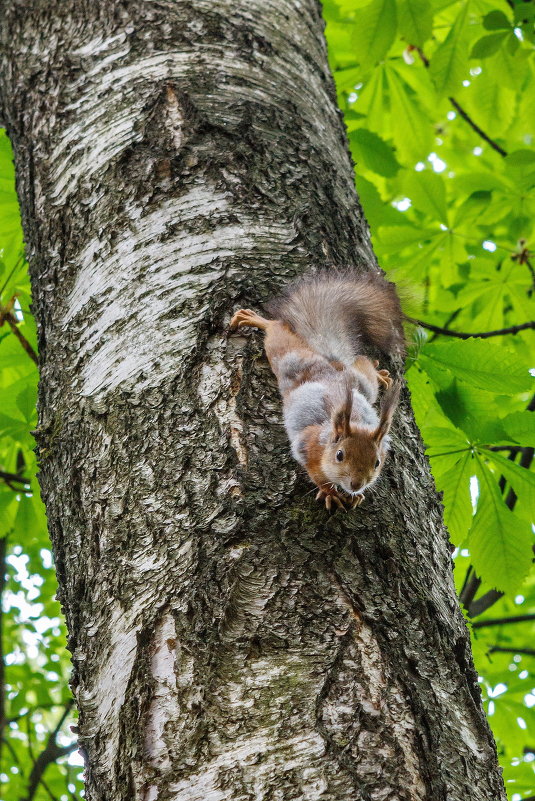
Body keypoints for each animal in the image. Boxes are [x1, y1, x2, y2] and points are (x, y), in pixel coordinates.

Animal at [228, 268, 404, 506]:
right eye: (340, 455)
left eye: (377, 462)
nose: (356, 484)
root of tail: (326, 369)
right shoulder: (307, 446)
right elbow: (315, 474)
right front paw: (330, 492)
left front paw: (357, 496)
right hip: (288, 359)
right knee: (278, 330)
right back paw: (256, 320)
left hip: (362, 385)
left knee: (362, 363)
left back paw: (378, 373)